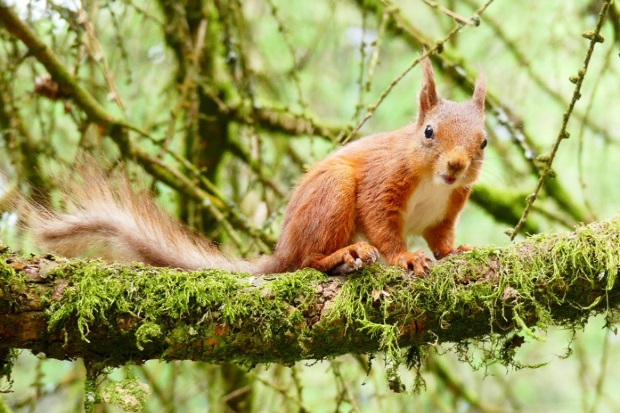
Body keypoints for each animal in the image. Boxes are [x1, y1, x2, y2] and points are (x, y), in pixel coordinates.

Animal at [27, 58, 484, 276]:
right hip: (332, 195)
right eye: (428, 132)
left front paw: (456, 250)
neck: (435, 184)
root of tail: (283, 247)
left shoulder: (448, 208)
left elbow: (441, 236)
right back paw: (341, 255)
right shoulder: (383, 180)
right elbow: (382, 223)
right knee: (306, 261)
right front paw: (405, 258)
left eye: (483, 142)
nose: (456, 165)